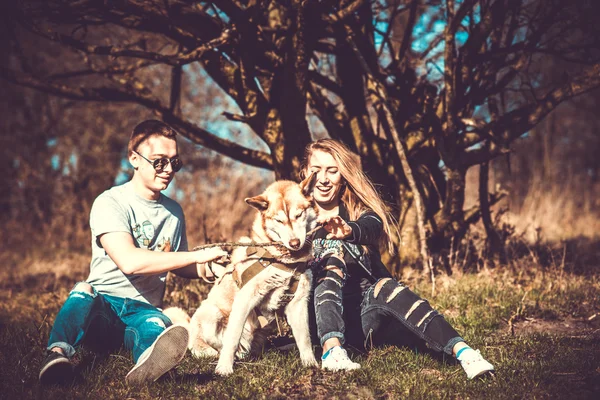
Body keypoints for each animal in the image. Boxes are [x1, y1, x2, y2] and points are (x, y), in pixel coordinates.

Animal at [190, 174, 322, 376]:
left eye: (299, 215)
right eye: (279, 220)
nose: (294, 243)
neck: (283, 260)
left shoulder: (298, 302)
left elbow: (305, 338)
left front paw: (310, 363)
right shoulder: (246, 297)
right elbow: (232, 337)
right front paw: (224, 368)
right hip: (210, 314)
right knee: (218, 345)